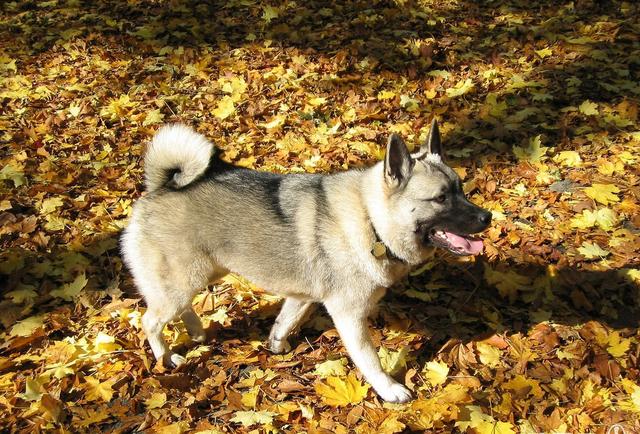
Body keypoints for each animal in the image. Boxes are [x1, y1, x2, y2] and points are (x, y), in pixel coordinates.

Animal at [121, 119, 490, 404]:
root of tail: (160, 187)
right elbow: (369, 360)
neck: (370, 220)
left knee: (181, 309)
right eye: (441, 198)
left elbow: (285, 322)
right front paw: (388, 389)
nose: (487, 218)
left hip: (199, 276)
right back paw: (166, 358)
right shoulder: (349, 315)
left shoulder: (302, 298)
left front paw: (276, 345)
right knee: (150, 322)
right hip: (180, 285)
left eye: (461, 189)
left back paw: (196, 332)